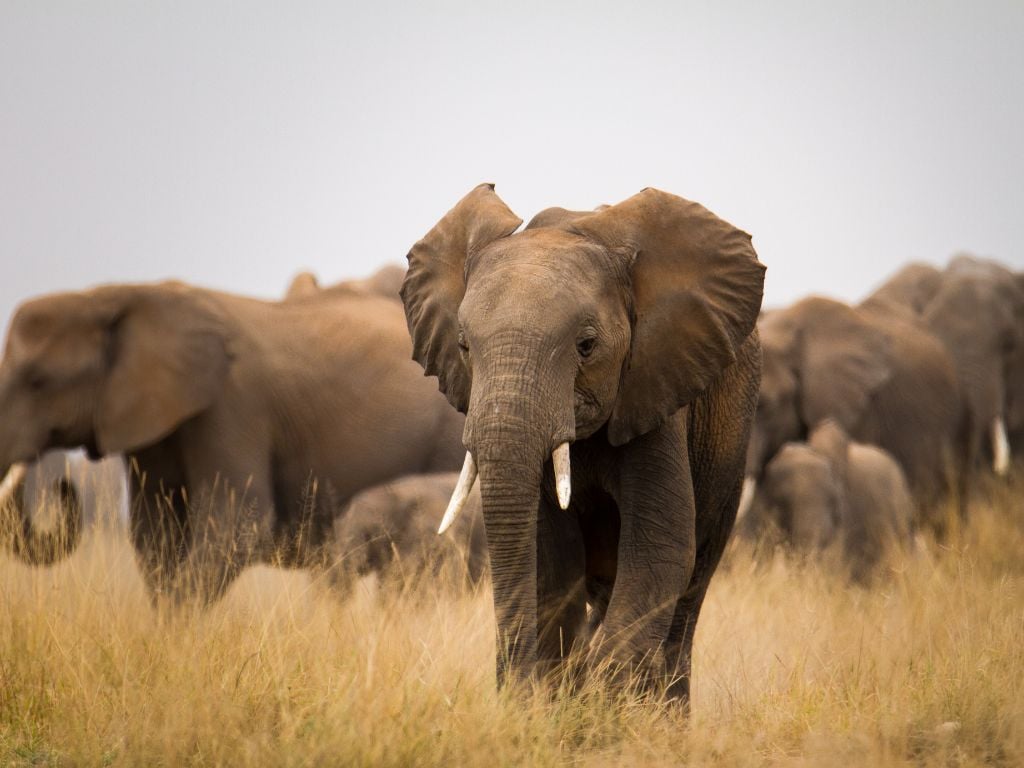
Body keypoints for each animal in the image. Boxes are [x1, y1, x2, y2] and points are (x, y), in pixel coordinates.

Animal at [0, 280, 464, 606]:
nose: (63, 487)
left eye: (39, 381)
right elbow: (155, 536)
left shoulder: (234, 407)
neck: (116, 295)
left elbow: (238, 525)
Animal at [397, 183, 761, 700]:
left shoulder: (657, 388)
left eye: (586, 346)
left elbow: (660, 549)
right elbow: (551, 561)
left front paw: (601, 707)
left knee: (688, 595)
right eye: (464, 346)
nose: (508, 686)